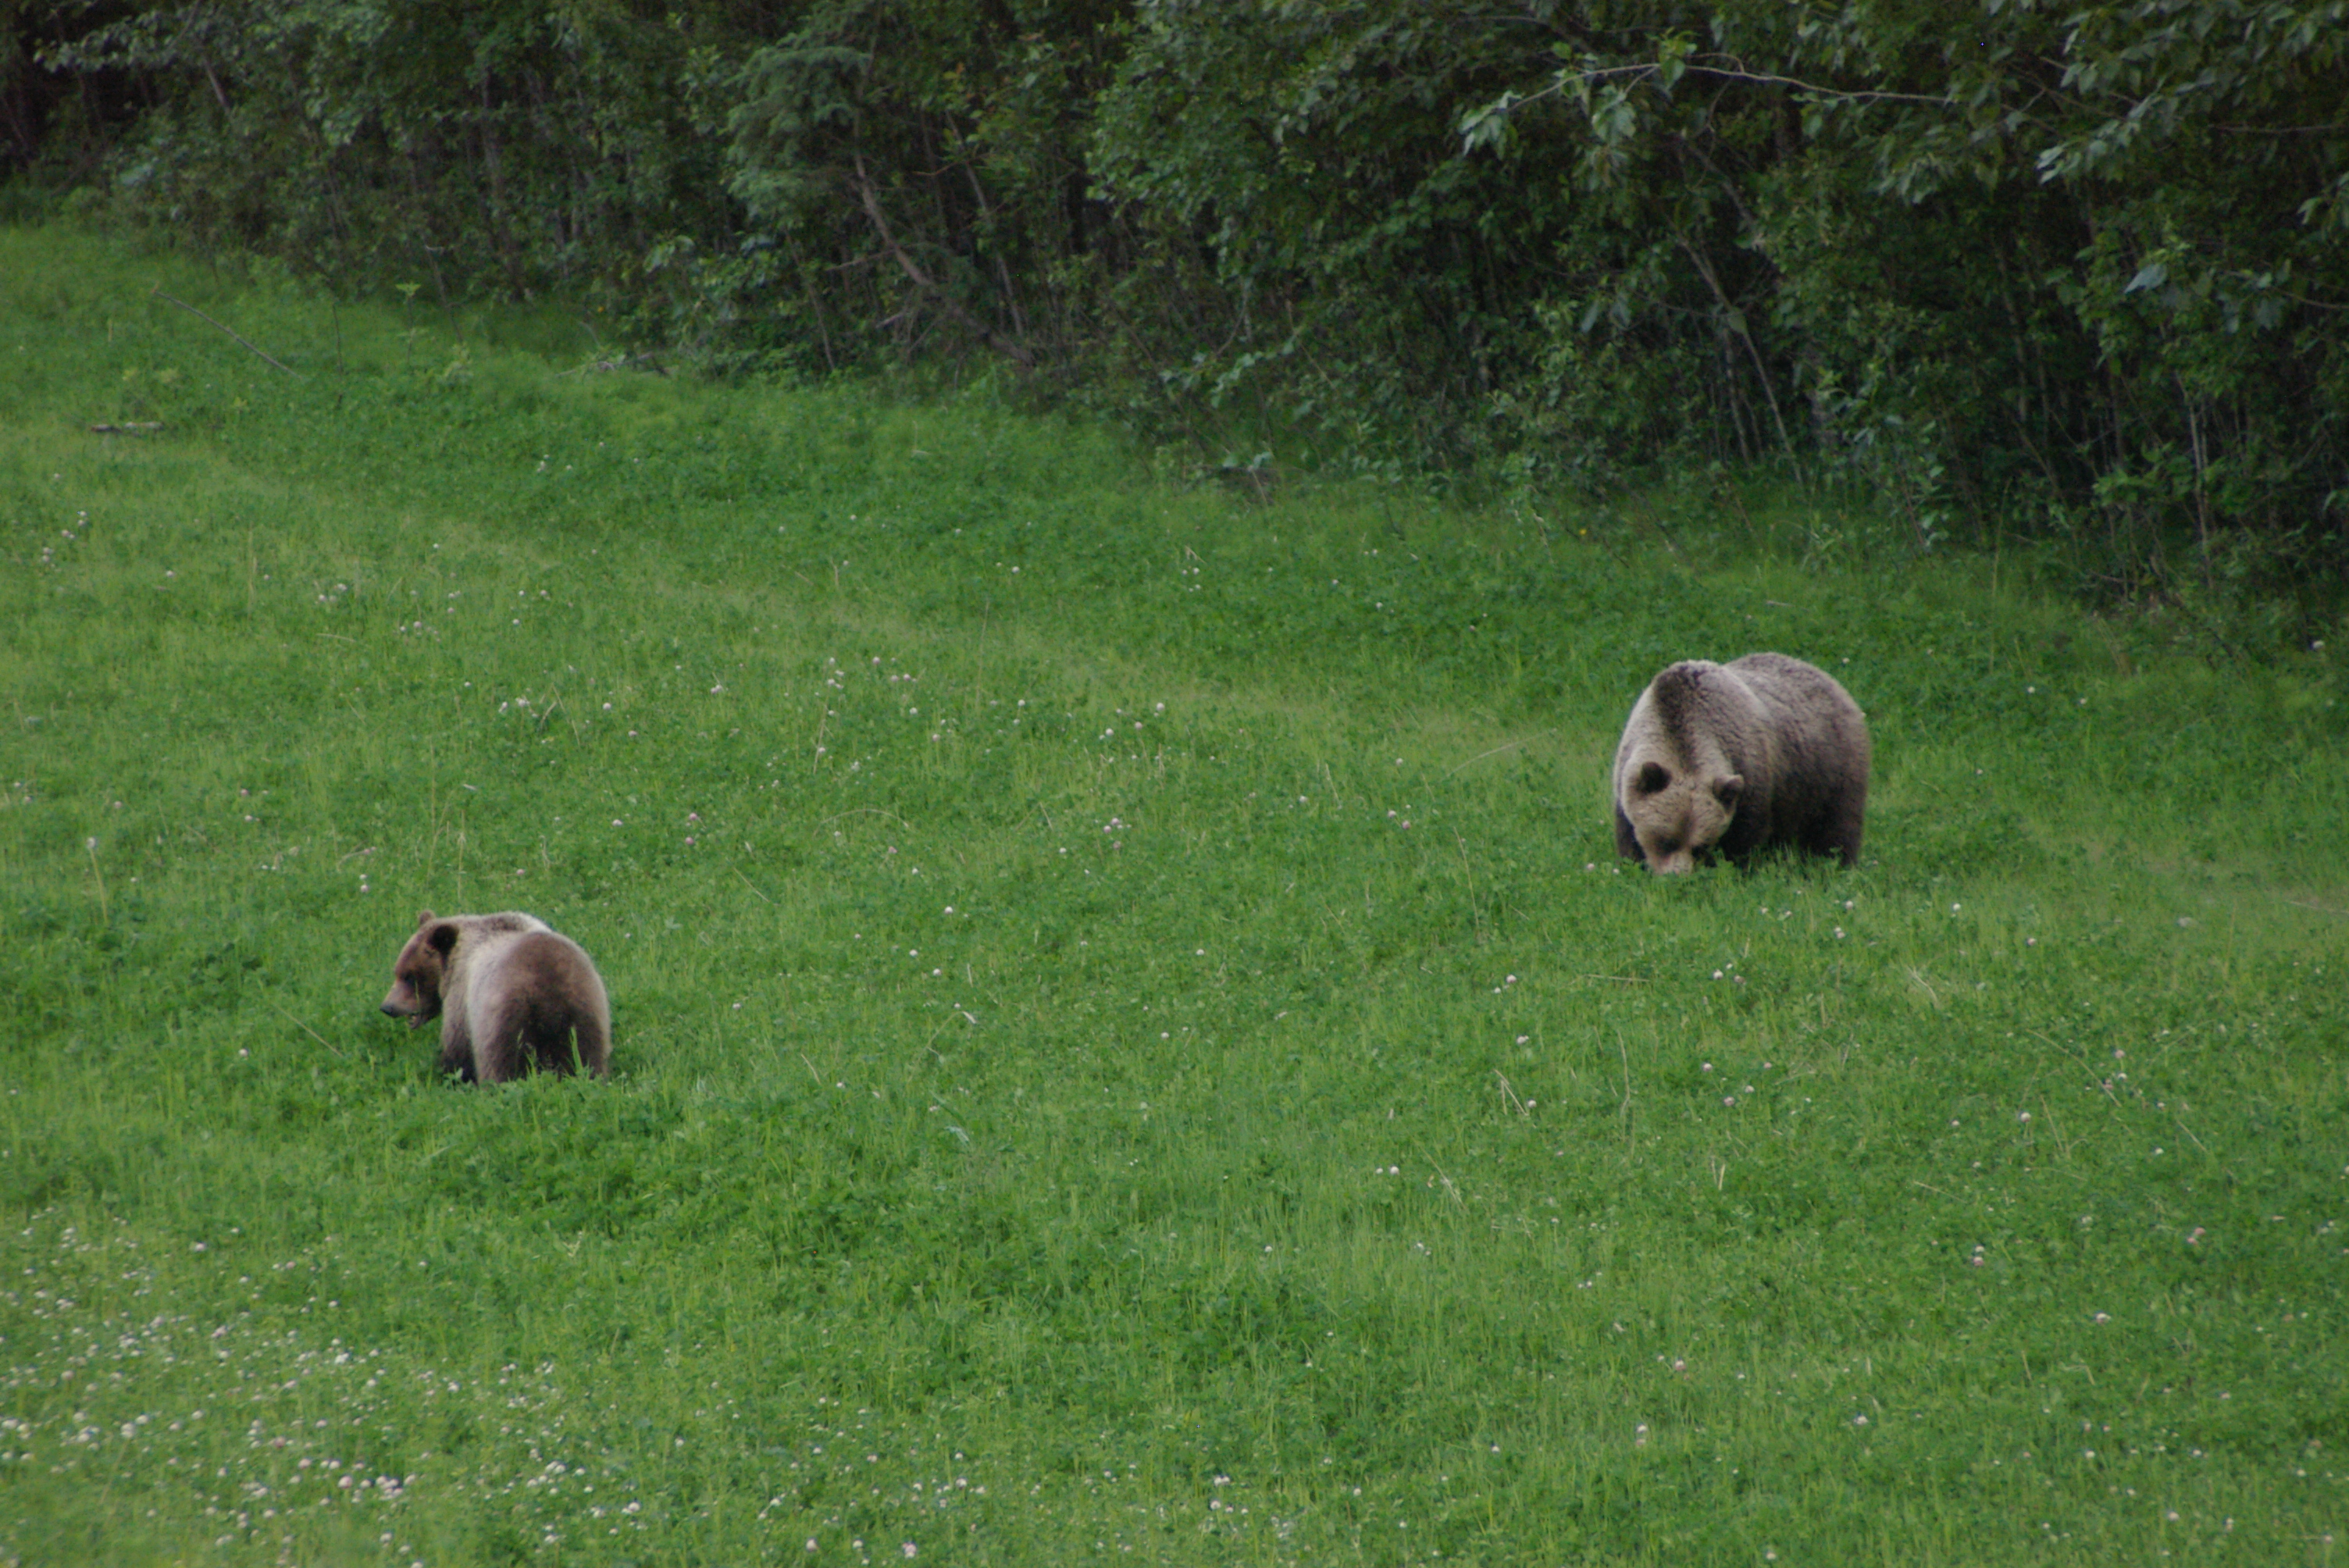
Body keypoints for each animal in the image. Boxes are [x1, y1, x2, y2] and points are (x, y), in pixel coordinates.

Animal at [378, 910, 611, 1081]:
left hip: (505, 1016)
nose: (387, 1007)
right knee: (586, 1055)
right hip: (585, 1010)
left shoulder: (462, 997)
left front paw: (452, 1074)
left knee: (501, 1062)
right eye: (398, 971)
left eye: (410, 977)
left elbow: (457, 1047)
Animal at [1611, 652, 1869, 875]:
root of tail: (1828, 679)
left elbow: (1744, 838)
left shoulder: (1751, 776)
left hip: (1833, 768)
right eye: (1666, 840)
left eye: (1700, 846)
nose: (1678, 876)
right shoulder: (1626, 782)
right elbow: (1628, 837)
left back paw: (1838, 864)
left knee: (1837, 826)